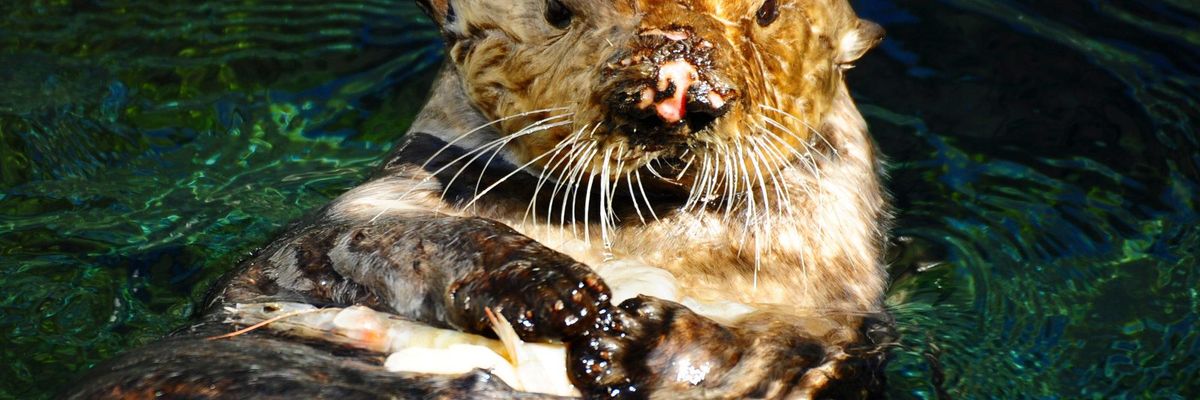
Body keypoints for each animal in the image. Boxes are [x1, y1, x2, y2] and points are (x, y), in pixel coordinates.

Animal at [68, 0, 889, 398]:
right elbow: (390, 243)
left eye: (767, 14)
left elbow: (773, 356)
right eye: (558, 14)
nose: (671, 94)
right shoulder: (376, 206)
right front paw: (560, 294)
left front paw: (633, 336)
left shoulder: (827, 319)